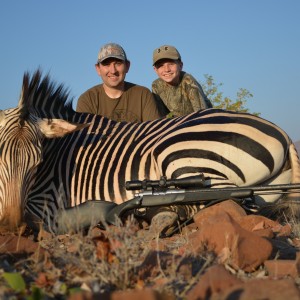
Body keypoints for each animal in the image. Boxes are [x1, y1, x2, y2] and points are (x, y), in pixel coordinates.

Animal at [0, 69, 298, 233]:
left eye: (37, 163)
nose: (12, 225)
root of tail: (284, 134)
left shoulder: (47, 202)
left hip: (181, 155)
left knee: (228, 202)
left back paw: (163, 216)